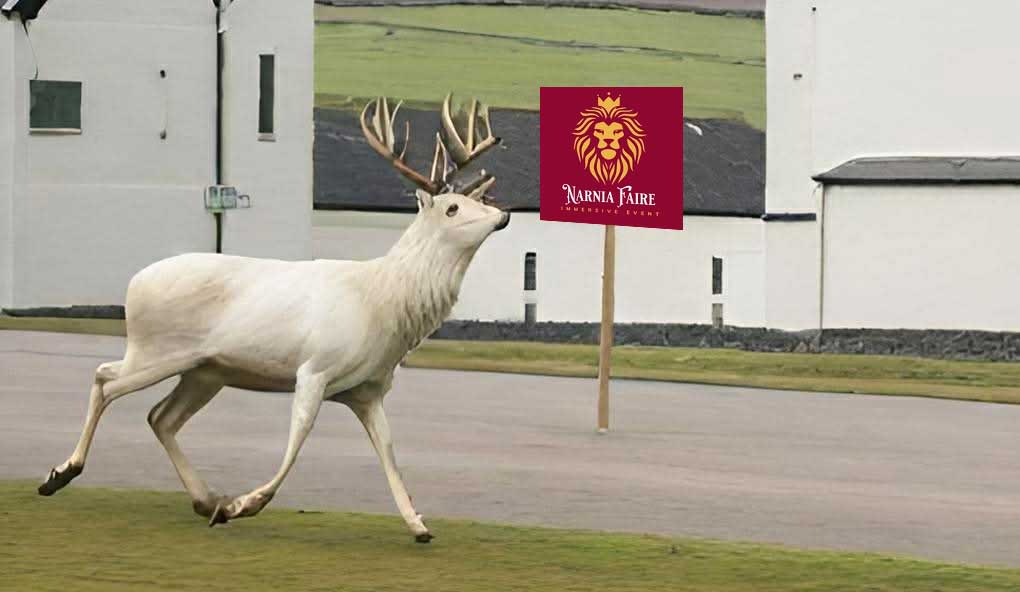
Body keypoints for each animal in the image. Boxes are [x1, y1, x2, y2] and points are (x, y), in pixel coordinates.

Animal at [37, 93, 508, 543]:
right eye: (451, 208)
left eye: (477, 199)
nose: (503, 215)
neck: (384, 302)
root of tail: (134, 283)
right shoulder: (315, 368)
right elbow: (299, 438)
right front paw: (244, 504)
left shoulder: (367, 389)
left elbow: (389, 452)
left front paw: (418, 525)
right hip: (156, 349)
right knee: (105, 379)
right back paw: (61, 474)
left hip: (205, 370)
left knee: (160, 416)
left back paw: (204, 499)